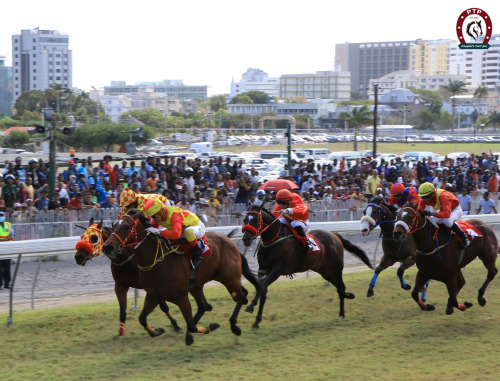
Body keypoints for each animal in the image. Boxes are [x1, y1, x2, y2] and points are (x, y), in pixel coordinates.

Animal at [104, 208, 264, 344]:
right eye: (114, 225)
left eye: (126, 226)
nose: (107, 246)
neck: (158, 262)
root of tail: (229, 240)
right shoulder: (153, 295)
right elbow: (142, 318)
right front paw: (158, 331)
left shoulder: (181, 297)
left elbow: (191, 325)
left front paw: (209, 327)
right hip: (199, 285)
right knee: (206, 305)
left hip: (229, 278)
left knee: (241, 297)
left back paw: (234, 326)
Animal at [240, 203, 374, 328]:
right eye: (245, 219)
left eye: (256, 219)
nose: (246, 239)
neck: (273, 241)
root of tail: (334, 235)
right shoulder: (262, 270)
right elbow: (262, 289)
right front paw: (256, 321)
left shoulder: (277, 270)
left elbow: (262, 286)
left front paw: (250, 306)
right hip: (324, 271)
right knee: (339, 288)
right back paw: (347, 299)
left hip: (336, 268)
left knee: (341, 287)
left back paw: (342, 313)